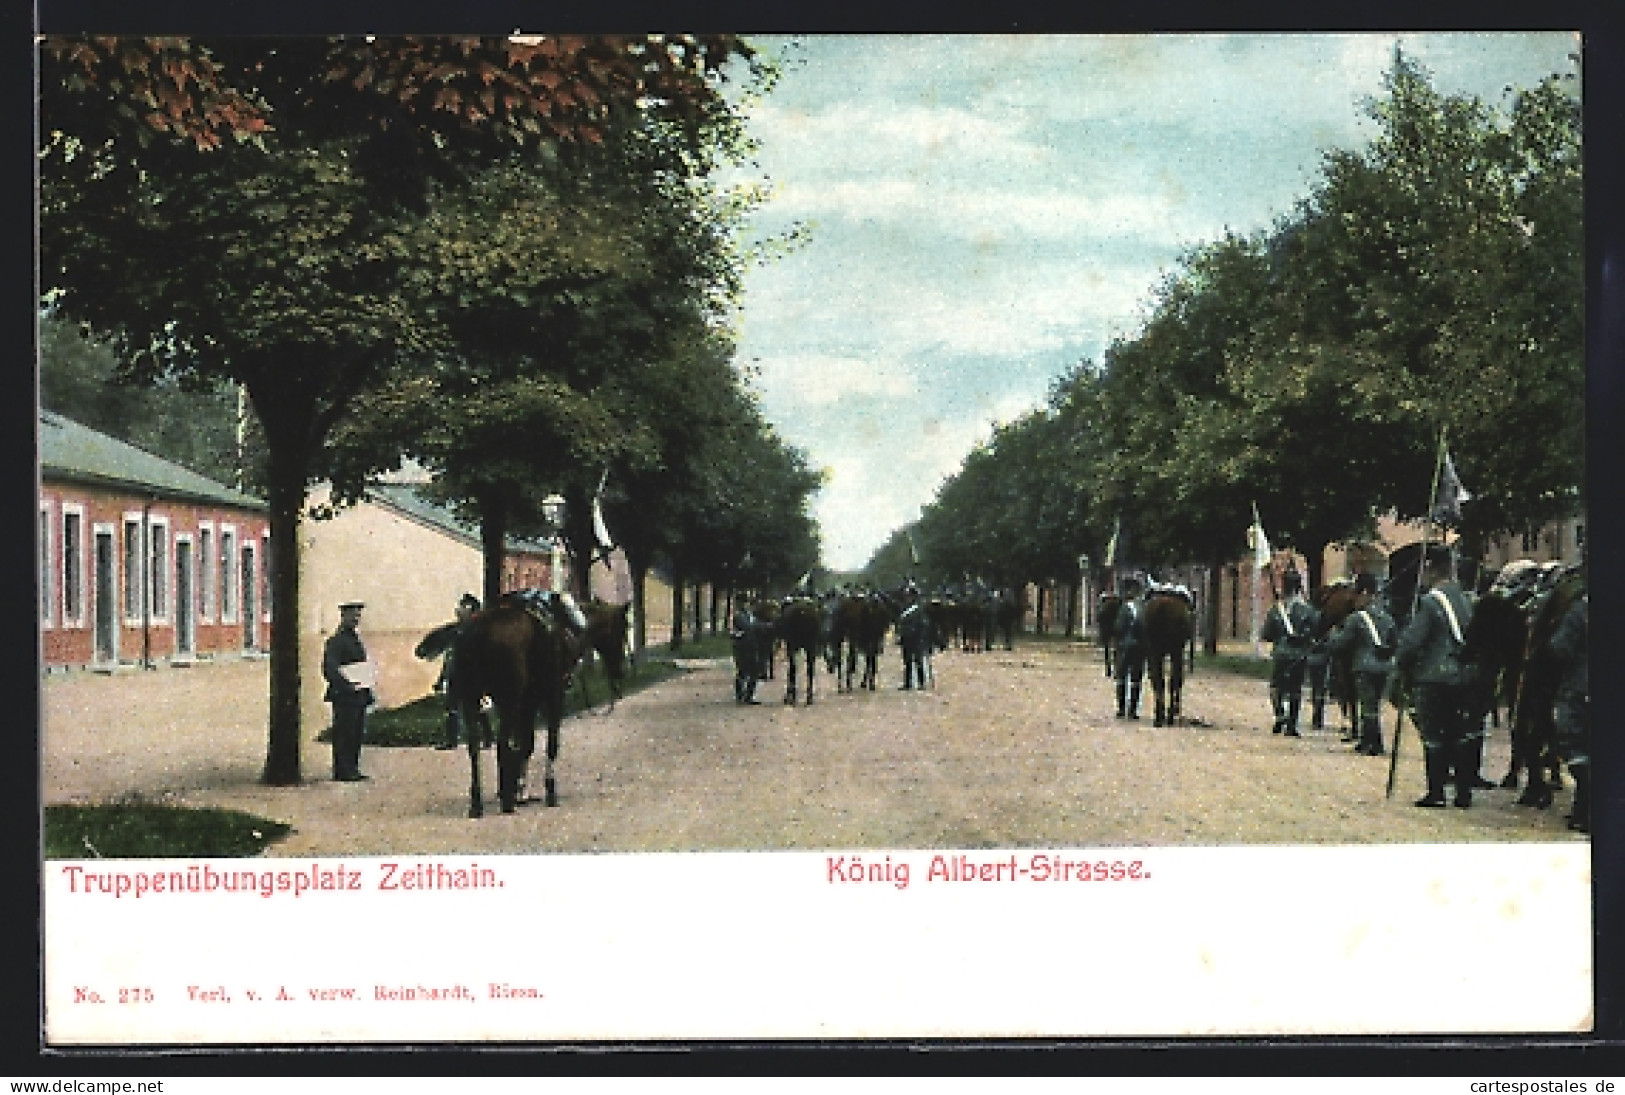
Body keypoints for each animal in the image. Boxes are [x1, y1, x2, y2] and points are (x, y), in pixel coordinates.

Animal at [451, 591, 585, 815]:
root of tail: (480, 630)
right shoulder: (552, 697)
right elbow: (549, 745)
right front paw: (547, 791)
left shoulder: (528, 705)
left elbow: (525, 744)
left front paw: (517, 788)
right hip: (510, 701)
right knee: (502, 744)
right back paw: (507, 803)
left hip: (473, 699)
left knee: (474, 748)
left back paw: (478, 803)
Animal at [1144, 588, 1196, 724]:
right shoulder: (1177, 651)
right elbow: (1177, 679)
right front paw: (1174, 709)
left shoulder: (1154, 652)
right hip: (1173, 651)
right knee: (1173, 679)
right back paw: (1169, 714)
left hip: (1157, 652)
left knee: (1159, 679)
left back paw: (1160, 716)